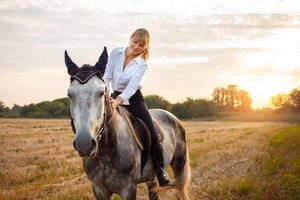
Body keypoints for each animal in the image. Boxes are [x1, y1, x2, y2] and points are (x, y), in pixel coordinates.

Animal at [64, 47, 191, 200]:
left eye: (101, 92)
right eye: (70, 94)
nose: (84, 144)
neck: (106, 152)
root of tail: (172, 116)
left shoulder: (128, 189)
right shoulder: (98, 189)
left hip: (179, 164)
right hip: (151, 177)